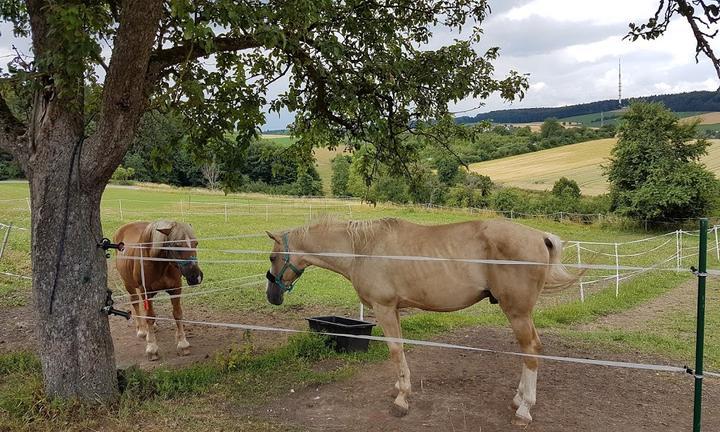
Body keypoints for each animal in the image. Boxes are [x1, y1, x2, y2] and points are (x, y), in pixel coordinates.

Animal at [114, 221, 202, 360]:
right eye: (176, 245)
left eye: (196, 243)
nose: (195, 277)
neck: (159, 263)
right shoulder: (146, 292)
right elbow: (149, 316)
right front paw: (152, 347)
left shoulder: (176, 289)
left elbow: (177, 314)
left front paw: (183, 344)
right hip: (129, 284)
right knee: (135, 302)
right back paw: (142, 330)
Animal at [268, 219, 576, 426]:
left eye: (272, 257)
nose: (272, 296)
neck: (363, 249)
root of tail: (540, 236)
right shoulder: (393, 309)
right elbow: (400, 350)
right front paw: (400, 386)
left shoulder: (384, 308)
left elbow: (395, 349)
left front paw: (402, 400)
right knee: (529, 350)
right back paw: (518, 399)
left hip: (517, 312)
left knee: (531, 350)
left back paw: (524, 410)